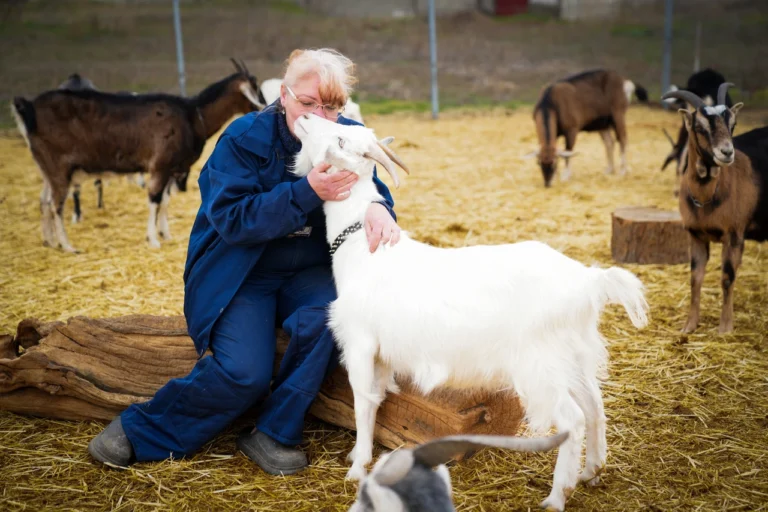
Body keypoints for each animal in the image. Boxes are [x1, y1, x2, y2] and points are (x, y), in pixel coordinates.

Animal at [12, 58, 266, 252]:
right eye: (255, 88)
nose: (264, 106)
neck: (192, 114)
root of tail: (28, 108)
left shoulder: (171, 168)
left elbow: (165, 200)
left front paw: (165, 234)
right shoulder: (160, 165)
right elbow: (154, 199)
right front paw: (153, 239)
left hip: (47, 166)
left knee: (44, 200)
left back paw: (50, 241)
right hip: (58, 166)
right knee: (56, 204)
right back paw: (67, 246)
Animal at [662, 84, 767, 334]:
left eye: (732, 125)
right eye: (700, 127)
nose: (727, 152)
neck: (708, 198)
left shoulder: (734, 235)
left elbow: (727, 277)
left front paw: (725, 328)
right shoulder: (696, 236)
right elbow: (695, 277)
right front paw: (689, 325)